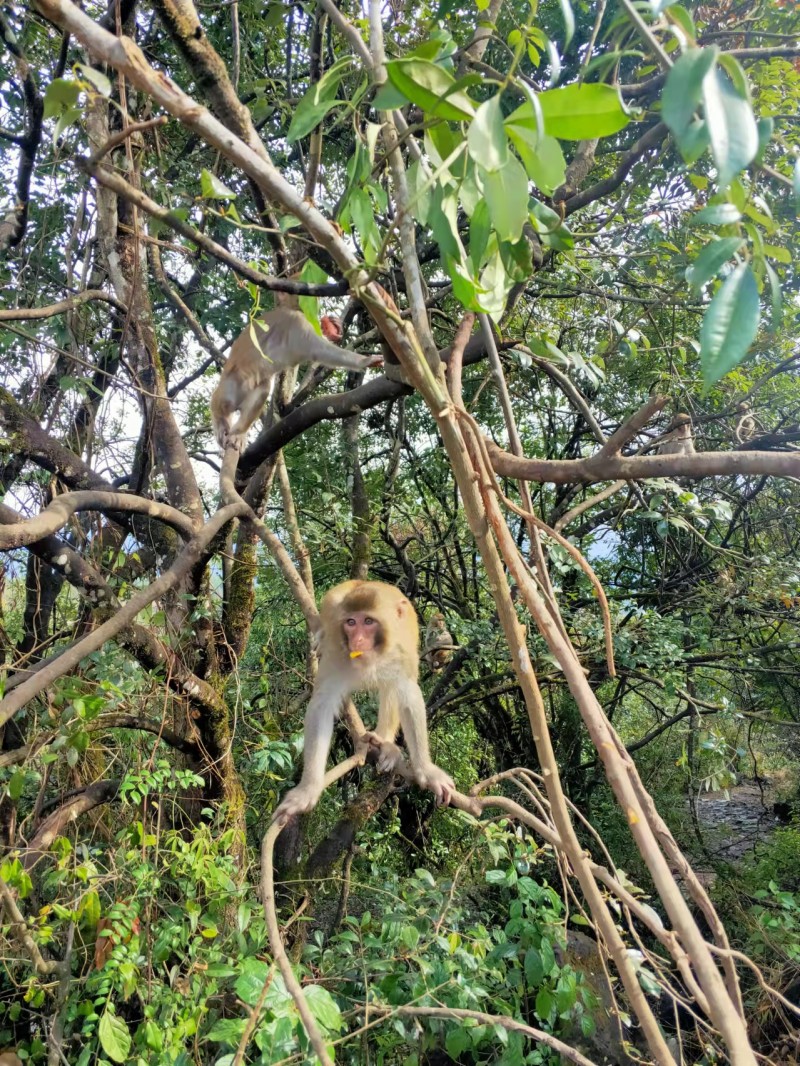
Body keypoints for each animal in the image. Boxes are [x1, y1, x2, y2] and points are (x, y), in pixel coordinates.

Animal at [210, 304, 379, 449]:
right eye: (330, 326)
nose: (336, 331)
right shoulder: (300, 327)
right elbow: (323, 350)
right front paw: (365, 360)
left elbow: (325, 354)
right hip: (231, 382)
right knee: (223, 402)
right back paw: (221, 422)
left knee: (263, 387)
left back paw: (239, 432)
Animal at [275, 584, 454, 814]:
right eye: (351, 623)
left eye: (369, 621)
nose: (357, 640)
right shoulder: (336, 652)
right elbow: (322, 704)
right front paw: (308, 789)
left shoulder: (401, 652)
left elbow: (408, 695)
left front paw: (426, 770)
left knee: (391, 689)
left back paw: (383, 742)